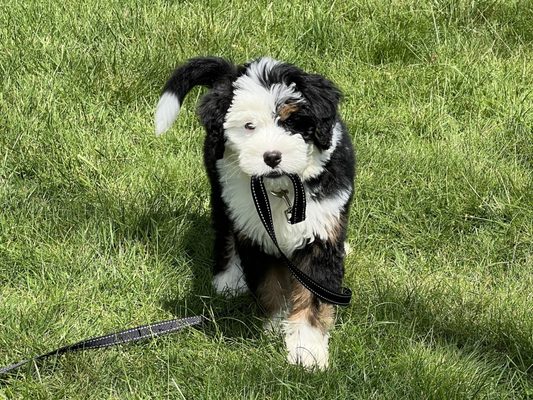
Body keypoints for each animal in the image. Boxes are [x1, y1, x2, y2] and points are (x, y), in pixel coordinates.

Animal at [153, 56, 354, 368]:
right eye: (249, 126)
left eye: (291, 121)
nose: (272, 157)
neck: (283, 189)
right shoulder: (258, 234)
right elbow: (270, 285)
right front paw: (275, 325)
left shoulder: (320, 234)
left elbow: (312, 297)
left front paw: (307, 350)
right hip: (221, 187)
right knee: (225, 227)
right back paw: (228, 277)